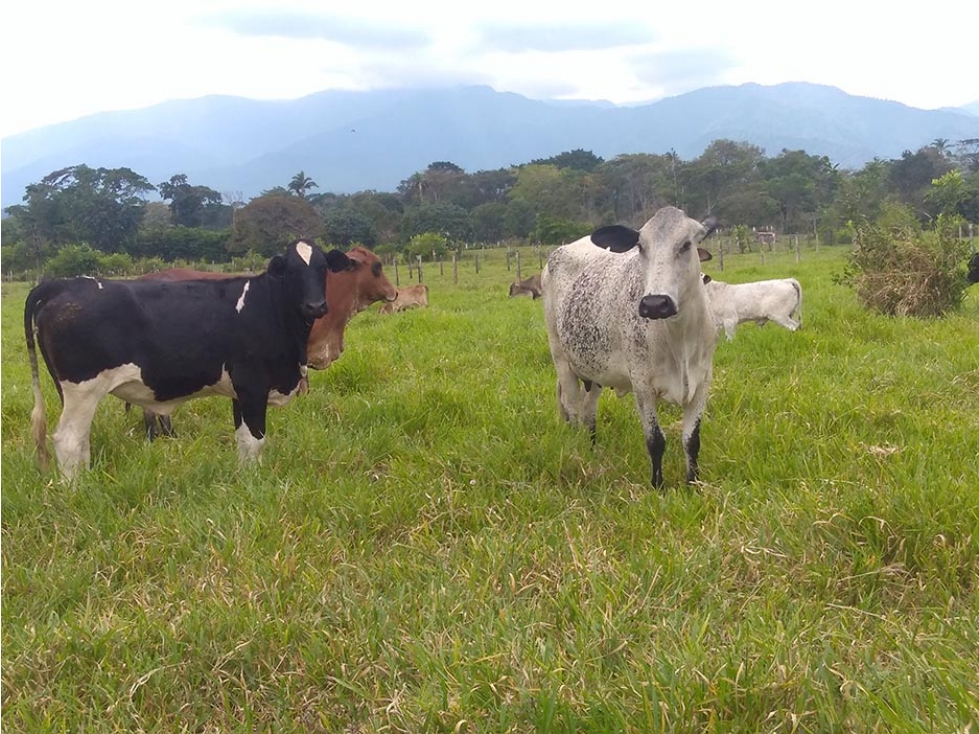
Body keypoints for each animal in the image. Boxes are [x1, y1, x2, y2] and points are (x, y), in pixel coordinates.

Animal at [23, 242, 356, 484]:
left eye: (323, 268)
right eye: (291, 271)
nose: (316, 305)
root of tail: (62, 285)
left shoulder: (239, 391)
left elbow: (242, 441)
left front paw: (244, 480)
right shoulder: (253, 386)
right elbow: (255, 440)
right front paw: (255, 485)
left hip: (71, 393)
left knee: (80, 440)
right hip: (83, 389)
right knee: (68, 440)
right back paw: (76, 490)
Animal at [544, 206, 720, 488]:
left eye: (686, 244)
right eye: (641, 247)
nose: (656, 303)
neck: (678, 337)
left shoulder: (701, 382)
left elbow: (692, 441)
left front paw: (693, 484)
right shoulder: (642, 385)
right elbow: (656, 441)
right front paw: (657, 486)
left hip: (595, 372)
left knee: (588, 413)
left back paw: (592, 451)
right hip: (561, 358)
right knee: (571, 409)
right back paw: (577, 451)